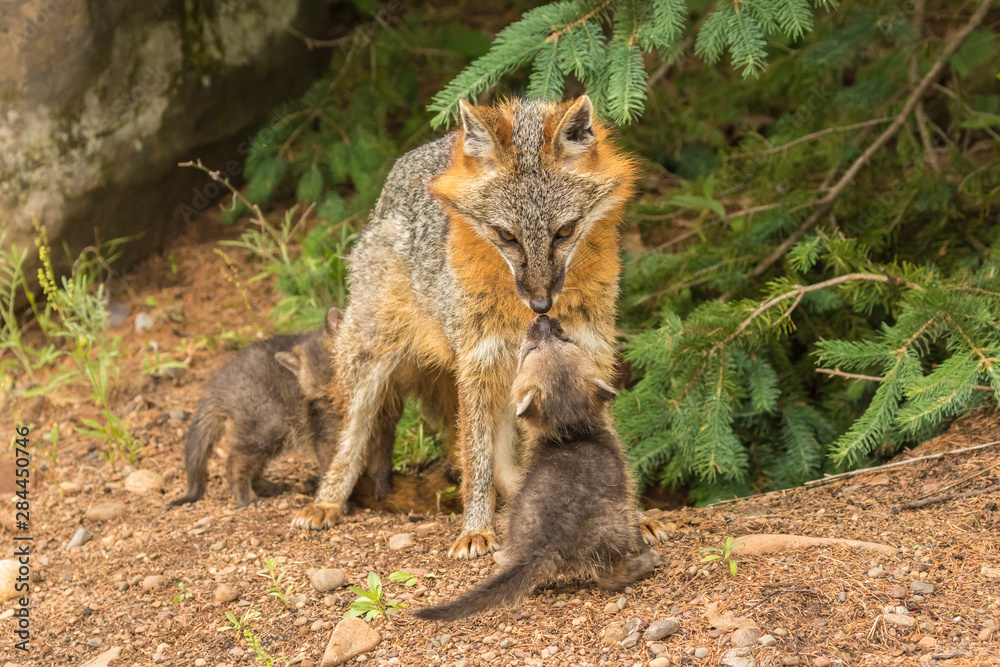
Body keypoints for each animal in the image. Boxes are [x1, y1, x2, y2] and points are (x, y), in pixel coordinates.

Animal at [170, 308, 391, 507]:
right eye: (326, 397)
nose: (349, 415)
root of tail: (219, 384)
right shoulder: (325, 435)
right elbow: (332, 468)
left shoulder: (383, 424)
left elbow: (381, 460)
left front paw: (382, 489)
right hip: (269, 428)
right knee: (234, 463)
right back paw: (247, 498)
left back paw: (267, 487)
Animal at [291, 95, 657, 559]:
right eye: (506, 236)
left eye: (565, 231)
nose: (542, 306)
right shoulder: (477, 363)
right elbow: (476, 459)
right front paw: (476, 529)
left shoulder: (590, 356)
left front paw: (632, 514)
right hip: (371, 361)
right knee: (352, 439)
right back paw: (326, 502)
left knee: (504, 457)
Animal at [413, 315, 660, 621]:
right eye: (530, 350)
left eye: (565, 339)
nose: (543, 319)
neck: (571, 433)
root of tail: (541, 547)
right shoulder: (625, 491)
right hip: (611, 536)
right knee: (611, 577)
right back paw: (649, 560)